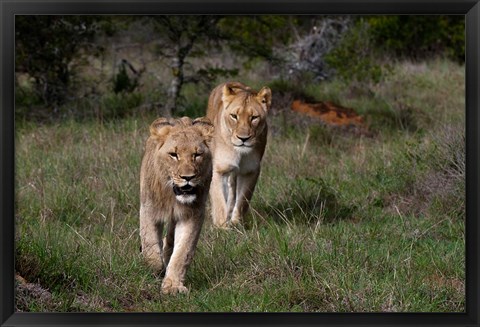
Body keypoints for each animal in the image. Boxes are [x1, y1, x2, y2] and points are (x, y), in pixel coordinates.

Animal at [139, 116, 214, 296]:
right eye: (173, 154)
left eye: (197, 155)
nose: (188, 177)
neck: (172, 197)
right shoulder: (148, 210)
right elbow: (150, 246)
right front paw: (155, 269)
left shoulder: (192, 215)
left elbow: (182, 252)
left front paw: (172, 286)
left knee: (170, 241)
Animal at [206, 82, 272, 228]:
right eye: (234, 116)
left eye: (254, 117)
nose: (243, 138)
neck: (240, 153)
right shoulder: (219, 169)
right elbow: (219, 200)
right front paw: (222, 227)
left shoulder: (250, 171)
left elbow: (243, 199)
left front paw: (236, 223)